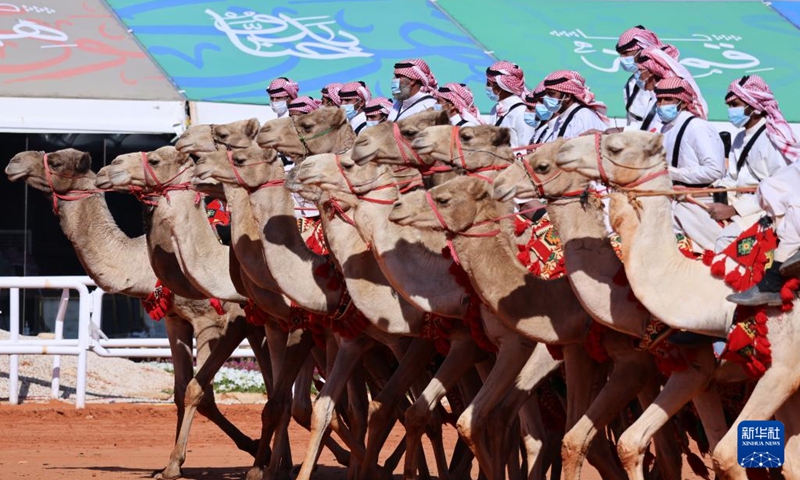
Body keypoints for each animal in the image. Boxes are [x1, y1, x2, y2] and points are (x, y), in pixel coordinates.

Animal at [2, 148, 272, 478]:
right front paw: (169, 463)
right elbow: (180, 390)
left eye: (54, 161)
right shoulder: (175, 320)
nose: (14, 161)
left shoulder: (216, 322)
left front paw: (183, 462)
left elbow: (201, 392)